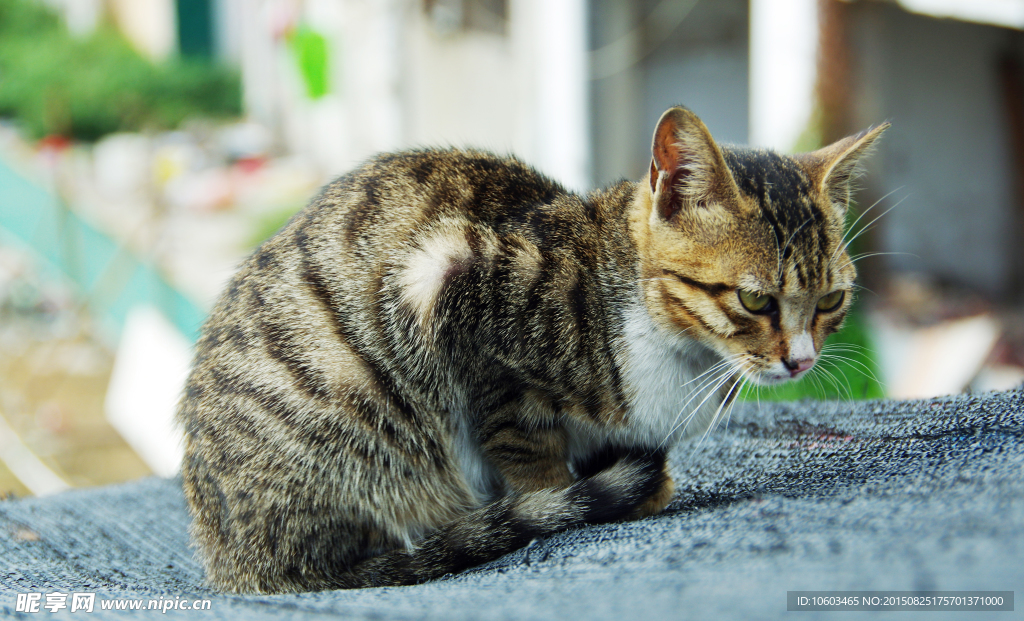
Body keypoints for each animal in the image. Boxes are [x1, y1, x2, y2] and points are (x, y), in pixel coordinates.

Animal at [178, 107, 888, 594]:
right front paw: (561, 500)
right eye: (755, 300)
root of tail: (234, 560)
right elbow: (523, 443)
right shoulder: (450, 285)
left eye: (831, 301)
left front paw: (635, 484)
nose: (801, 360)